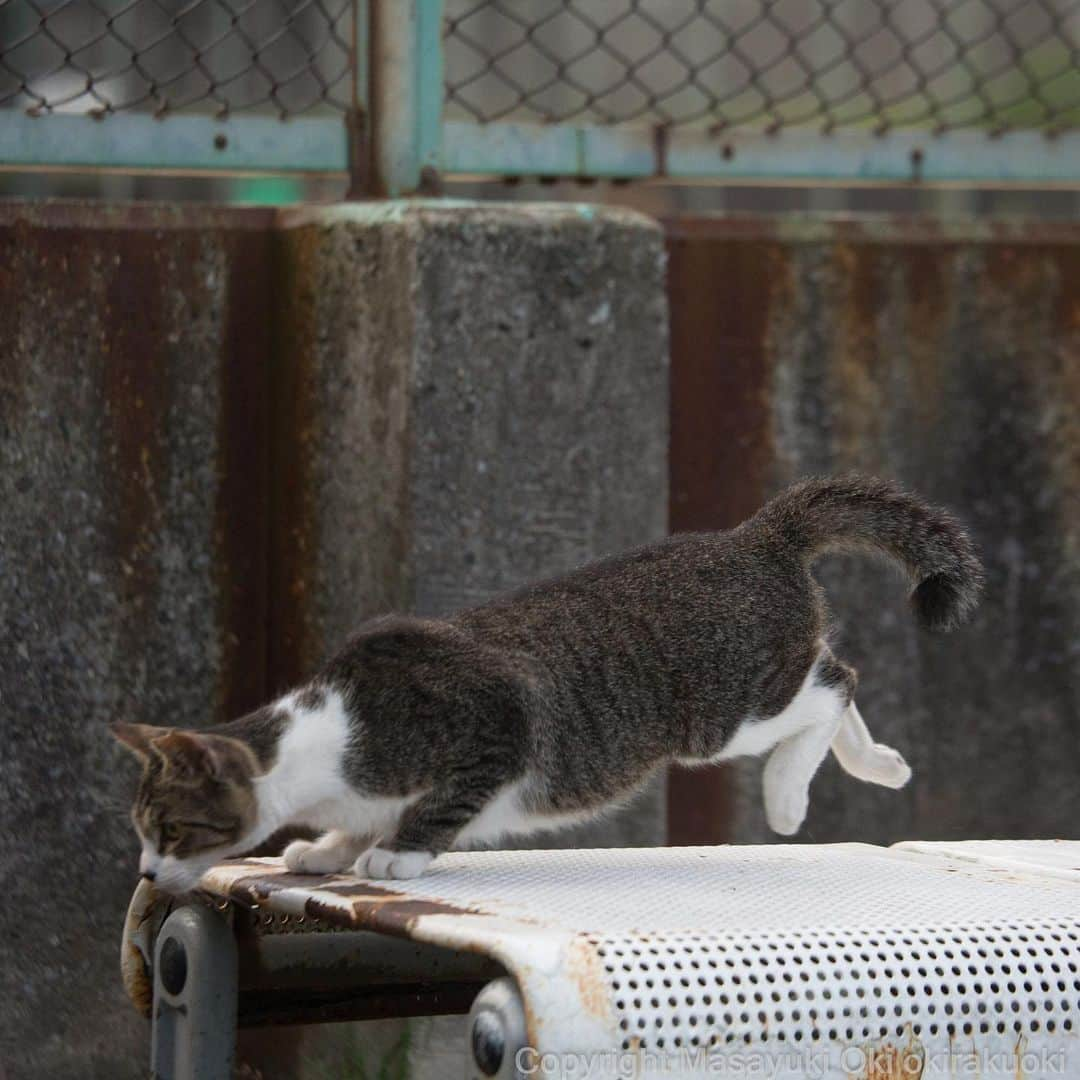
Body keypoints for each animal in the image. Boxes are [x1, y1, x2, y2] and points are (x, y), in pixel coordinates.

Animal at [113, 475, 984, 894]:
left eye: (171, 830)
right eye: (143, 831)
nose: (147, 876)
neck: (327, 745)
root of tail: (755, 534)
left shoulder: (496, 724)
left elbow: (436, 806)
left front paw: (395, 856)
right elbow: (356, 825)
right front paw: (326, 850)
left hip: (725, 710)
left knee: (836, 680)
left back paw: (786, 797)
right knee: (832, 675)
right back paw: (881, 765)